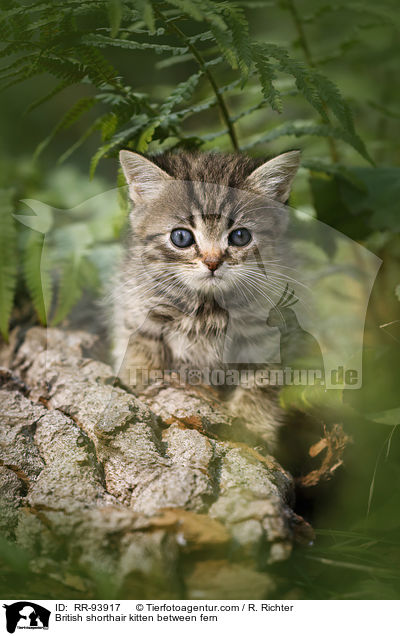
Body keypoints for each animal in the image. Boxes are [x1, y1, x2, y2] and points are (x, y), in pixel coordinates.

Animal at [109, 149, 300, 448]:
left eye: (240, 236)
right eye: (181, 237)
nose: (212, 262)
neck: (208, 306)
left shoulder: (270, 336)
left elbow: (261, 382)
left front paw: (252, 427)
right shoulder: (136, 307)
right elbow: (140, 350)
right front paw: (140, 382)